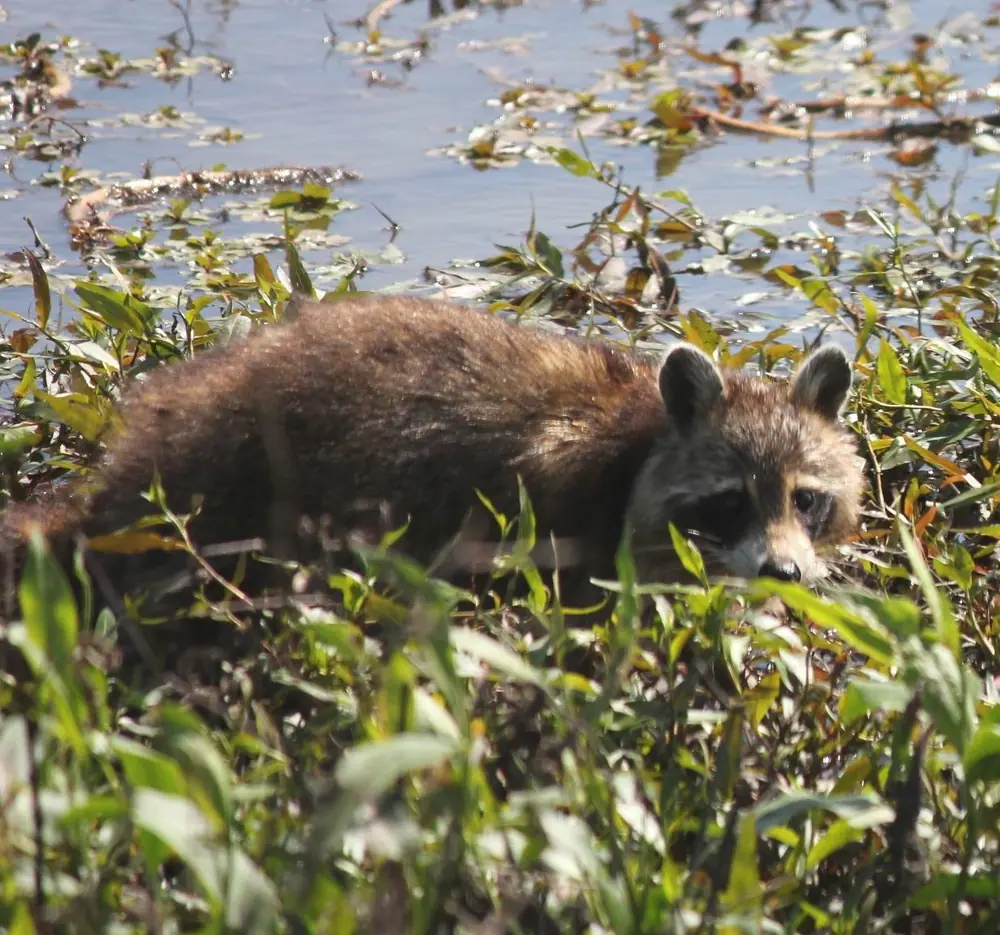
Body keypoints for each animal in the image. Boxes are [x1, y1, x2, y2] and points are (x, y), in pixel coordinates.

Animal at [0, 294, 862, 616]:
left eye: (806, 498)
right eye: (730, 500)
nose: (785, 572)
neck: (643, 432)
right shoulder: (556, 489)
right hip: (239, 476)